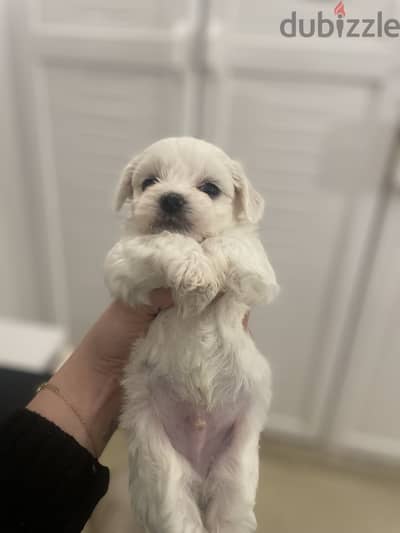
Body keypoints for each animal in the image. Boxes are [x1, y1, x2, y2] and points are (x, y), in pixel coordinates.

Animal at [104, 138, 278, 532]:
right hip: (162, 469)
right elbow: (165, 240)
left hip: (236, 467)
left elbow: (230, 242)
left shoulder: (259, 275)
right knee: (178, 515)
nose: (171, 198)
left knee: (231, 512)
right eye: (149, 182)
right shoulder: (124, 264)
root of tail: (200, 474)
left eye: (210, 189)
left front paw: (210, 263)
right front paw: (196, 273)